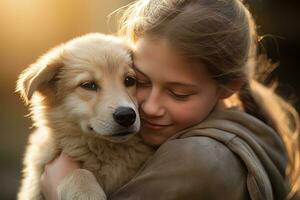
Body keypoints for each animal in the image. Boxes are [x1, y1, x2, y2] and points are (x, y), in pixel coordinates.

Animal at [16, 33, 154, 199]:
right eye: (88, 85)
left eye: (129, 80)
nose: (126, 116)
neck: (105, 151)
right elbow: (79, 172)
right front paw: (86, 191)